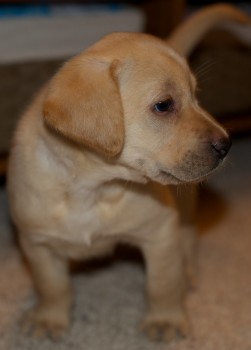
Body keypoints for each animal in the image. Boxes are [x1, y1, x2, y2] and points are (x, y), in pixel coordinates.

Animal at [6, 3, 250, 342]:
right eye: (163, 105)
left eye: (196, 97)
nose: (226, 144)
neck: (93, 188)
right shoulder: (36, 242)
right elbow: (52, 286)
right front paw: (49, 318)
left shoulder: (161, 231)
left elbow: (162, 283)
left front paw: (166, 319)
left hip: (185, 203)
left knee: (188, 235)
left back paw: (188, 272)